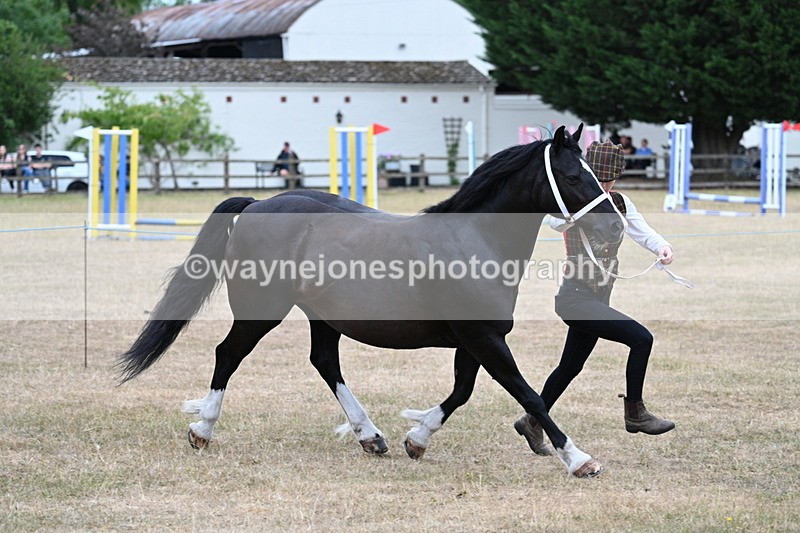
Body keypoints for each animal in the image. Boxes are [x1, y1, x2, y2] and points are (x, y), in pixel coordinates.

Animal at [118, 125, 624, 477]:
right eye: (573, 175)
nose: (614, 225)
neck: (474, 240)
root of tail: (258, 204)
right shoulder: (483, 338)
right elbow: (528, 395)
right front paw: (579, 459)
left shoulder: (476, 339)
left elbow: (462, 392)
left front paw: (417, 438)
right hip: (261, 311)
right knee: (228, 354)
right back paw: (202, 429)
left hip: (322, 316)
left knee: (325, 362)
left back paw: (370, 435)